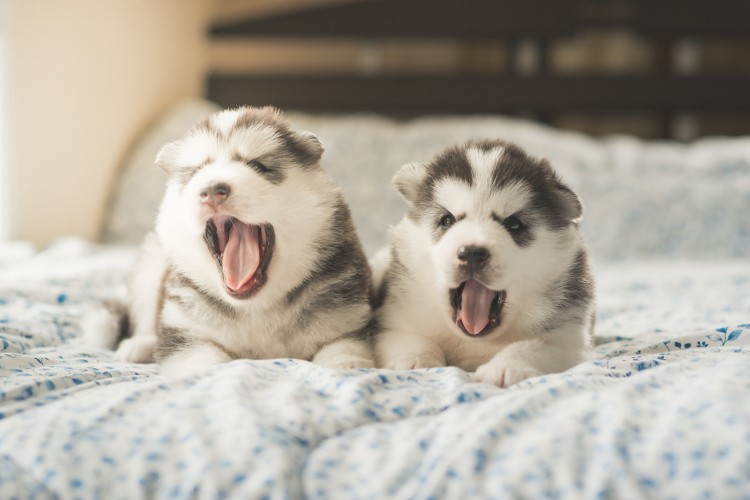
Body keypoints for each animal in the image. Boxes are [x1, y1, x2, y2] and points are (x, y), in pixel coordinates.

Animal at [100, 106, 376, 378]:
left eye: (258, 166)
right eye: (197, 171)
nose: (212, 191)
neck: (257, 309)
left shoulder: (347, 319)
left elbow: (343, 349)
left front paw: (346, 367)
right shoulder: (185, 332)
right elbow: (208, 363)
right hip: (150, 264)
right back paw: (139, 346)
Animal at [374, 139, 596, 388]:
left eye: (514, 224)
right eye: (447, 220)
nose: (472, 253)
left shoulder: (570, 340)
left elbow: (535, 346)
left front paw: (507, 366)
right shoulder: (395, 318)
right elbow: (409, 337)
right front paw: (415, 359)